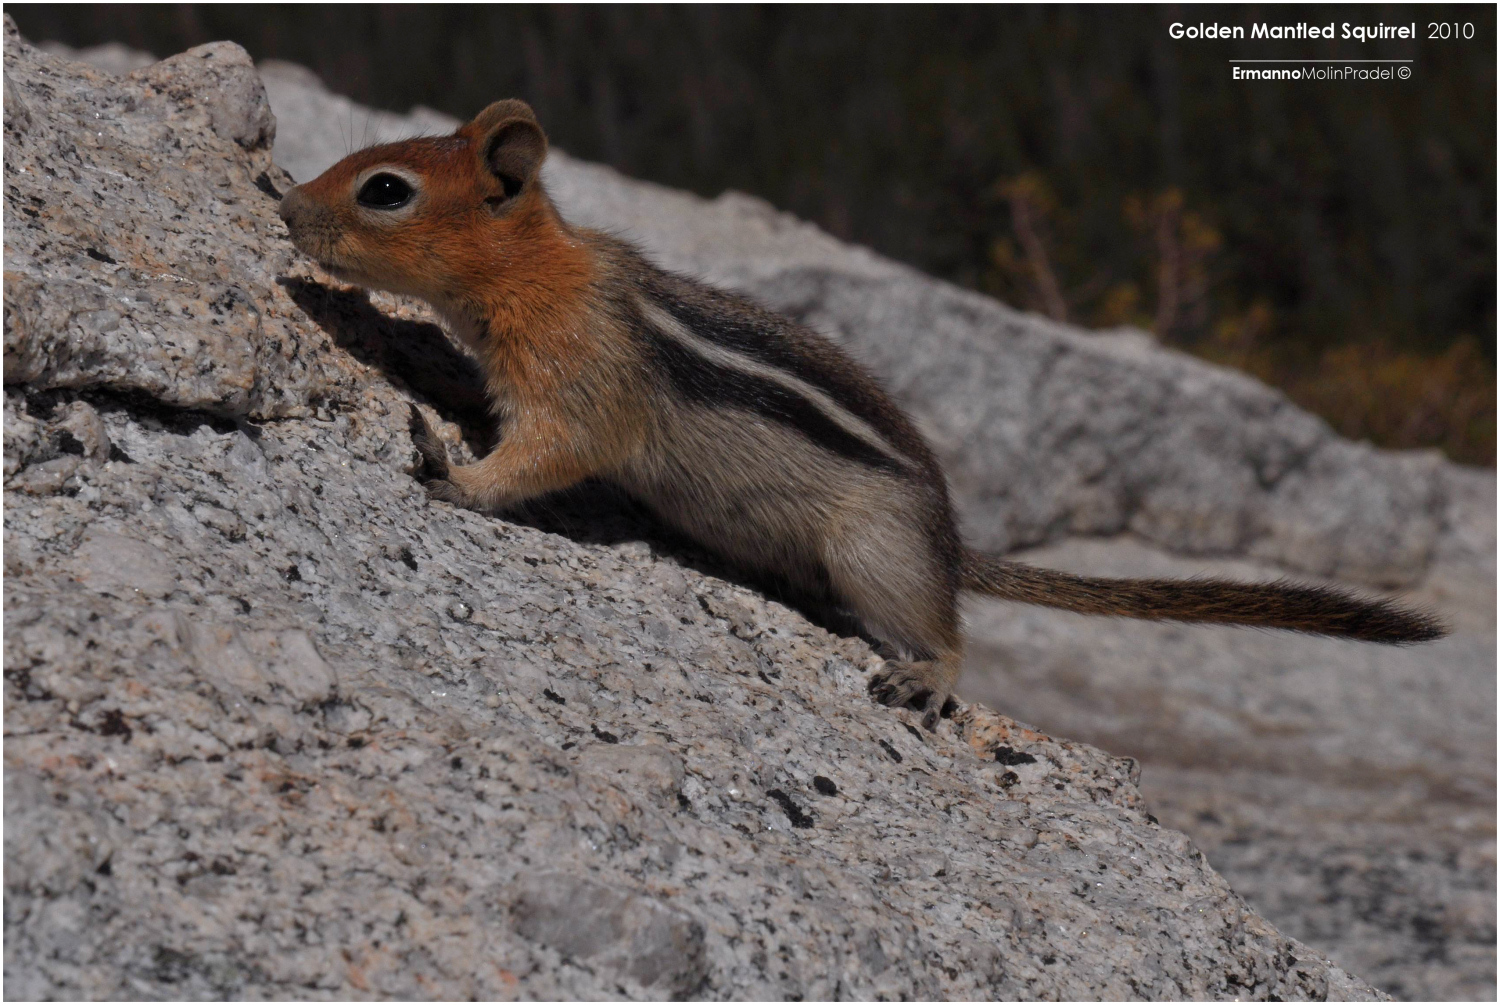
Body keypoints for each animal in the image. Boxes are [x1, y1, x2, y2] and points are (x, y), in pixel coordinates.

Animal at [278, 99, 1445, 730]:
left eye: (385, 190)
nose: (284, 205)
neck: (535, 275)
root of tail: (951, 542)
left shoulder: (583, 385)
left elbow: (542, 459)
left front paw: (450, 470)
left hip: (874, 551)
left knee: (950, 633)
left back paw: (926, 674)